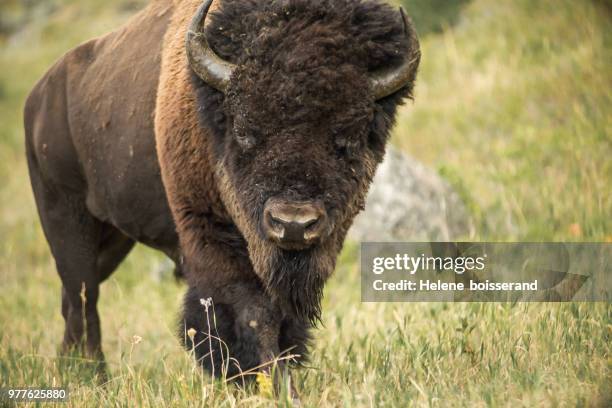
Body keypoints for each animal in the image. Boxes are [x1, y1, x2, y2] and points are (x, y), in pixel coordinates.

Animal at [23, 0, 418, 386]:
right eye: (244, 131)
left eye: (348, 138)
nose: (292, 223)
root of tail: (39, 96)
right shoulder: (211, 235)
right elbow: (252, 310)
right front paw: (267, 381)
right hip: (66, 216)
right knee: (83, 294)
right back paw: (91, 375)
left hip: (114, 239)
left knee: (74, 296)